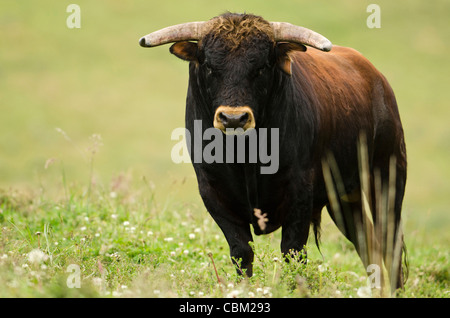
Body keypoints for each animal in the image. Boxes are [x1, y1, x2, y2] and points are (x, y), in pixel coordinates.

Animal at [141, 13, 408, 290]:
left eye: (261, 68)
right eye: (210, 67)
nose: (233, 118)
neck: (245, 155)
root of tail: (377, 79)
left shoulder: (300, 193)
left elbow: (292, 252)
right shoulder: (213, 192)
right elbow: (241, 251)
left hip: (388, 177)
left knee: (390, 242)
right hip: (345, 198)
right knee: (366, 243)